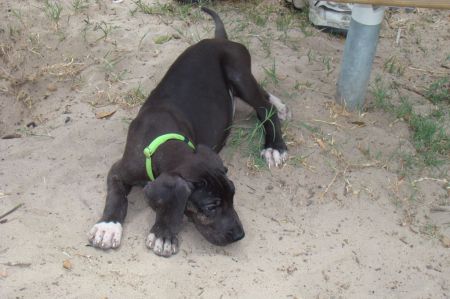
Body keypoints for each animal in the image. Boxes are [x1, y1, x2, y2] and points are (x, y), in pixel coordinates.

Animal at [89, 8, 288, 258]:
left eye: (233, 194)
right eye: (211, 207)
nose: (239, 235)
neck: (163, 138)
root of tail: (220, 39)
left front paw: (163, 233)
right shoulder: (119, 169)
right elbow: (116, 198)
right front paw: (107, 227)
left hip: (238, 71)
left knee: (264, 108)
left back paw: (275, 144)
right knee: (262, 97)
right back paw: (280, 105)